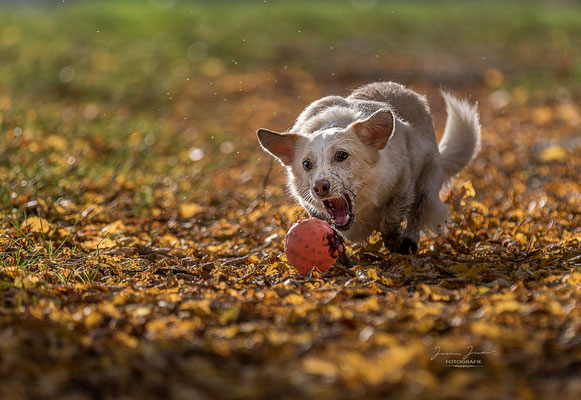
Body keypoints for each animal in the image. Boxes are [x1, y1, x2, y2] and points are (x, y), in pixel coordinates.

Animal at [256, 81, 478, 253]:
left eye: (341, 155)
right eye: (306, 164)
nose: (319, 187)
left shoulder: (402, 186)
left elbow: (391, 219)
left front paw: (394, 241)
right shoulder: (311, 206)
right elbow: (327, 224)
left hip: (427, 181)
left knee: (418, 213)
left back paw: (408, 243)